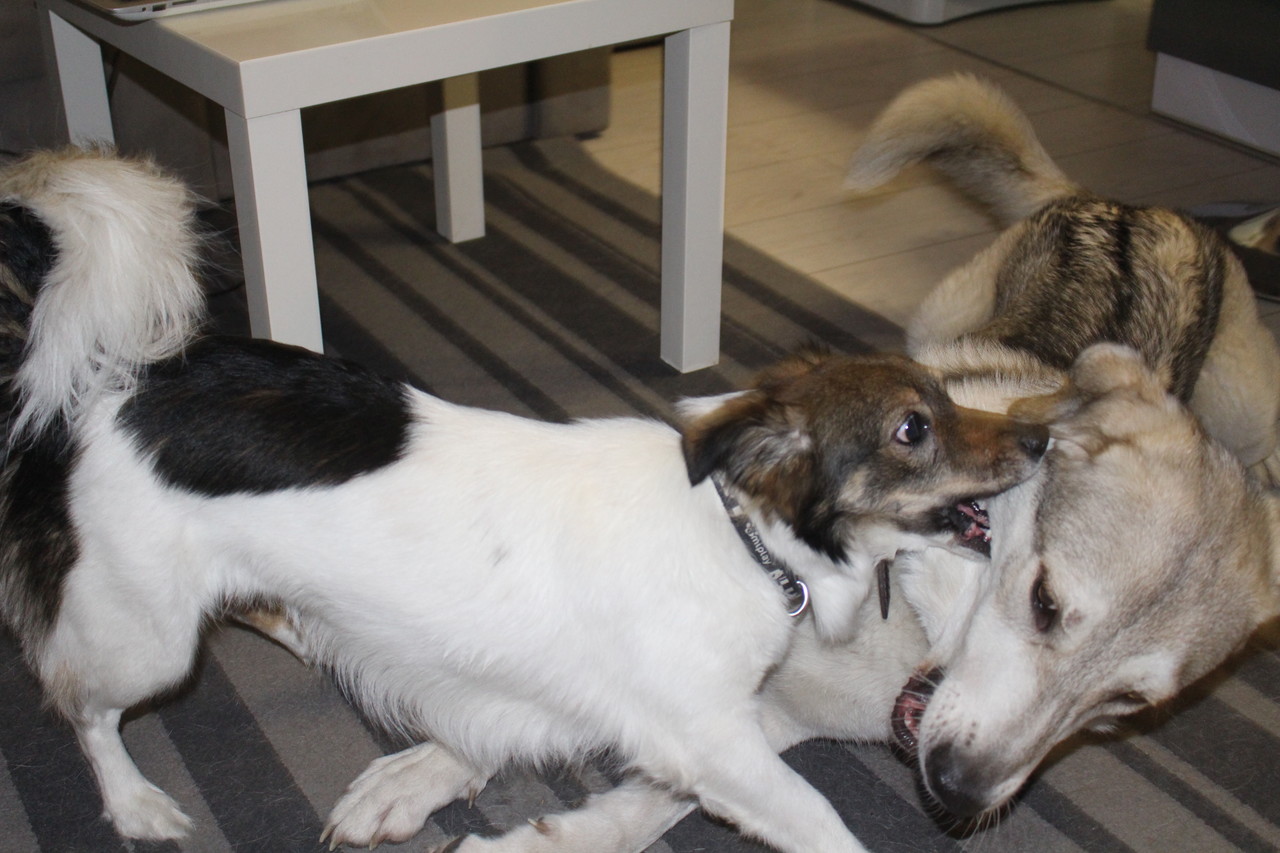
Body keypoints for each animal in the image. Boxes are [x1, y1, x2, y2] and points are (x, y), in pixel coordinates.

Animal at [0, 147, 1047, 851]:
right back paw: (135, 801)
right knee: (82, 707)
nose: (1043, 437)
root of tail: (106, 380)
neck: (739, 533)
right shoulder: (712, 740)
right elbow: (822, 820)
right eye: (913, 428)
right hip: (145, 635)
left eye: (947, 395)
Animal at [364, 75, 1280, 852]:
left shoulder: (752, 719)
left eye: (1126, 705)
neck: (898, 624)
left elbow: (663, 788)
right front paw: (420, 771)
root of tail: (1125, 202)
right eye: (1045, 602)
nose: (960, 788)